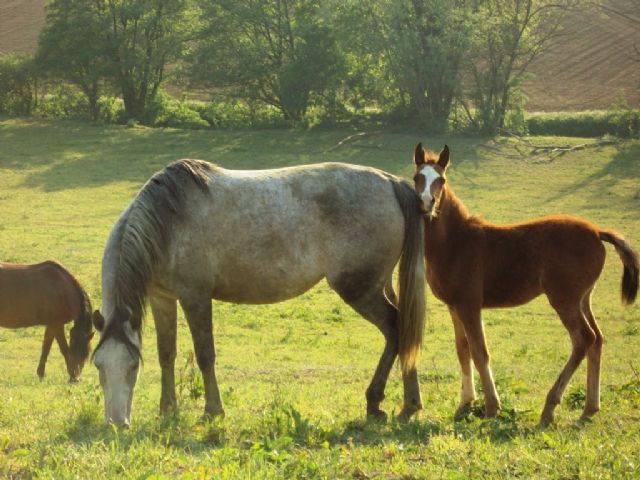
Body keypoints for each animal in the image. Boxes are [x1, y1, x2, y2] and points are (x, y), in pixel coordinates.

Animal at [91, 159, 424, 426]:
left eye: (133, 366)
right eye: (98, 365)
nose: (117, 423)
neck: (167, 222)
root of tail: (390, 182)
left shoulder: (195, 297)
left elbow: (205, 354)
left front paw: (213, 411)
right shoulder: (162, 298)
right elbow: (166, 354)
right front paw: (167, 410)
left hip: (359, 290)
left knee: (395, 329)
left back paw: (380, 403)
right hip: (379, 286)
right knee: (404, 330)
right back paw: (406, 405)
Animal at [412, 144, 636, 426]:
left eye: (441, 180)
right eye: (417, 177)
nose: (426, 203)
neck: (455, 241)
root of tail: (597, 232)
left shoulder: (469, 304)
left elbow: (480, 351)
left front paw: (491, 408)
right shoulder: (454, 306)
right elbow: (463, 351)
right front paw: (464, 405)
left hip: (564, 300)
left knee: (584, 339)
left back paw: (550, 407)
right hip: (583, 299)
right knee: (597, 340)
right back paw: (589, 409)